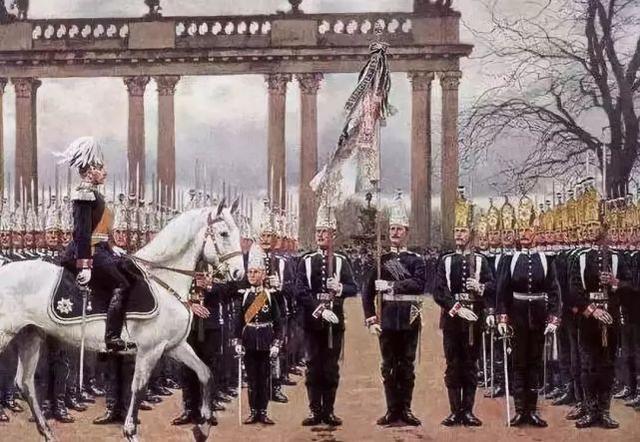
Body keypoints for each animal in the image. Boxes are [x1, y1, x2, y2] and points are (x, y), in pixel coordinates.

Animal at [0, 201, 244, 442]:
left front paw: (203, 427)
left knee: (25, 382)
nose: (238, 273)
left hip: (30, 335)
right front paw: (130, 432)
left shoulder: (174, 346)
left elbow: (205, 374)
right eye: (223, 233)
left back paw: (47, 432)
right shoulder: (150, 350)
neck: (163, 281)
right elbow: (138, 388)